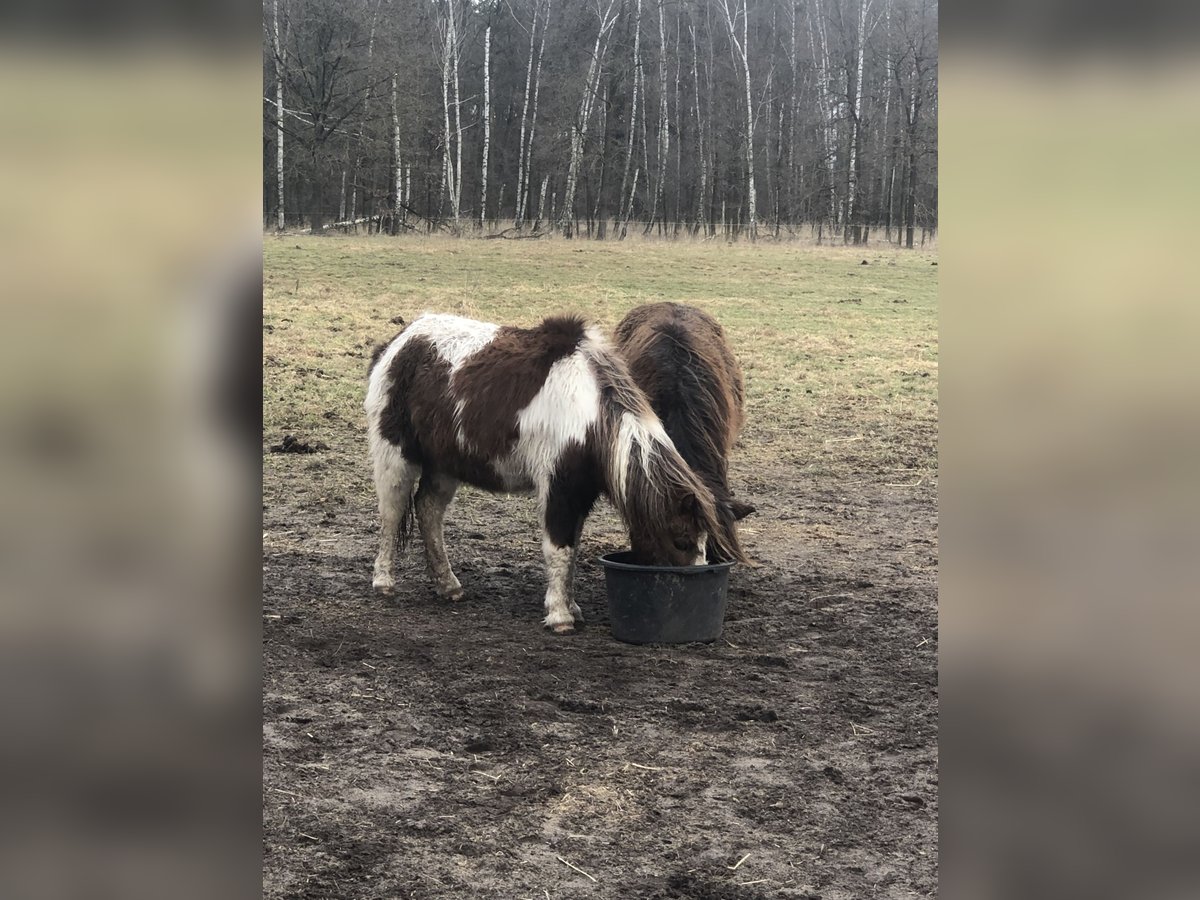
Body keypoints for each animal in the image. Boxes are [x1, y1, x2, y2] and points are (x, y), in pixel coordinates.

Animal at [360, 314, 744, 638]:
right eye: (680, 540)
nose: (696, 587)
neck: (592, 416)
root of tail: (398, 343)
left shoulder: (580, 494)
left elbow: (572, 551)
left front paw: (572, 608)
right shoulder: (557, 488)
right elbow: (558, 549)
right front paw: (560, 616)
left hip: (444, 465)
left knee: (428, 511)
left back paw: (448, 585)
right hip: (397, 456)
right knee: (392, 513)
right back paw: (384, 582)